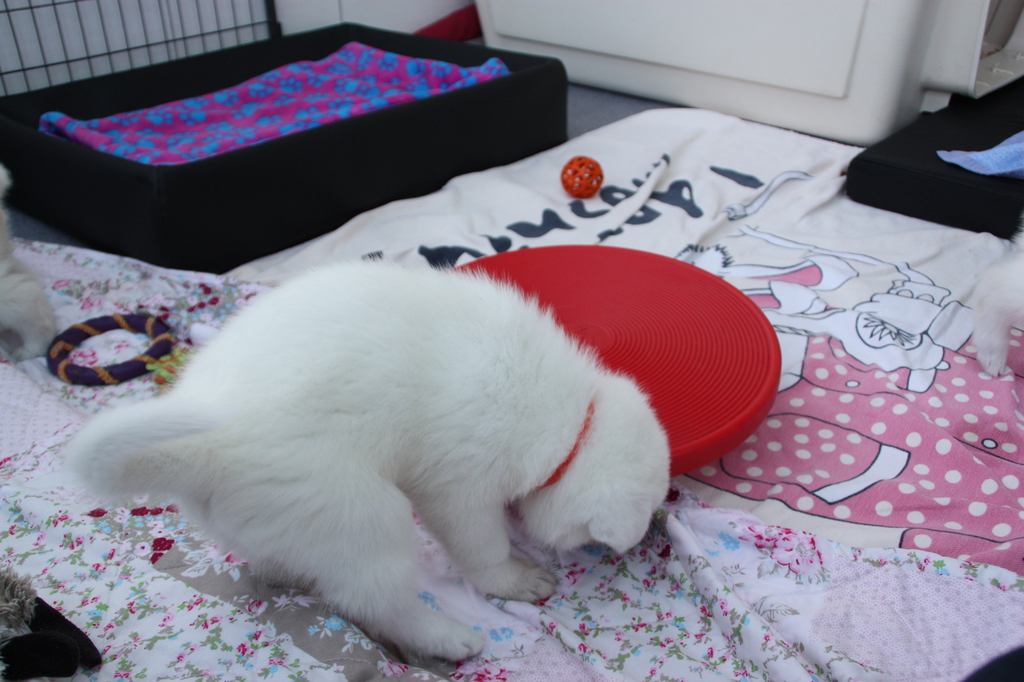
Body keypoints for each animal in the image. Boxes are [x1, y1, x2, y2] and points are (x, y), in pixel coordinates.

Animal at [64, 261, 671, 661]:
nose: (631, 548)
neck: (575, 422)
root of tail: (206, 446)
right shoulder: (458, 486)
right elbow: (480, 545)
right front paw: (514, 577)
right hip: (359, 510)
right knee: (377, 600)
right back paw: (448, 637)